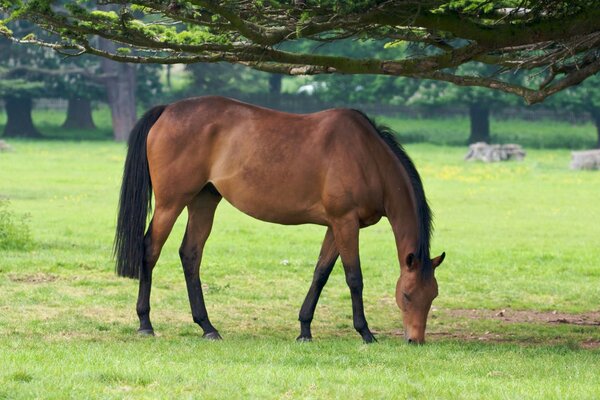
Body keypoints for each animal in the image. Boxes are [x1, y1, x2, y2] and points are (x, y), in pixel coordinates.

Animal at [115, 96, 446, 344]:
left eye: (433, 296)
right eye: (406, 295)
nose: (415, 340)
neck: (367, 157)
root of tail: (167, 110)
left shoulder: (335, 227)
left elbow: (320, 273)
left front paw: (304, 329)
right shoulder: (346, 223)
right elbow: (354, 278)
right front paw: (365, 332)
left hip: (204, 200)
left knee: (190, 254)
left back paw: (207, 327)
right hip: (171, 203)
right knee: (150, 250)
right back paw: (145, 323)